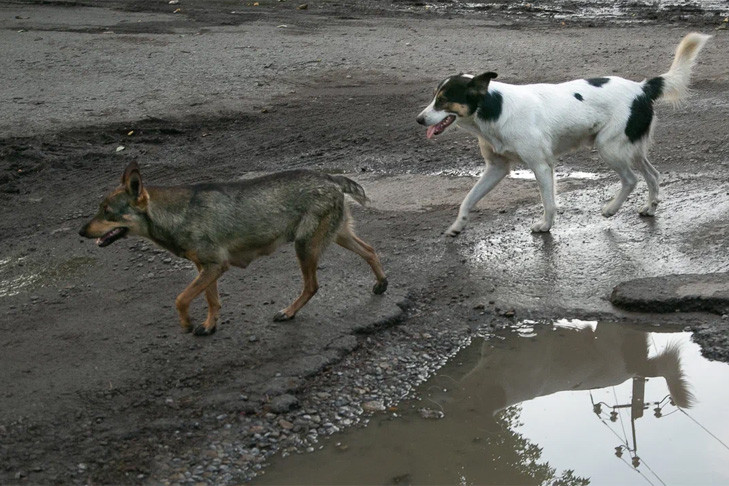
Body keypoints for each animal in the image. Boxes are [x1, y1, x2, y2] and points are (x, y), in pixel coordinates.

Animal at [418, 33, 708, 234]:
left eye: (443, 100)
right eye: (434, 97)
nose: (419, 119)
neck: (495, 110)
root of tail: (642, 88)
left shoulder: (541, 165)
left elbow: (548, 202)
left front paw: (545, 226)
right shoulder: (496, 168)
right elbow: (468, 199)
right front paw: (458, 225)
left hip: (609, 147)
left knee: (631, 179)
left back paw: (611, 209)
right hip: (630, 147)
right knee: (653, 175)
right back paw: (650, 207)